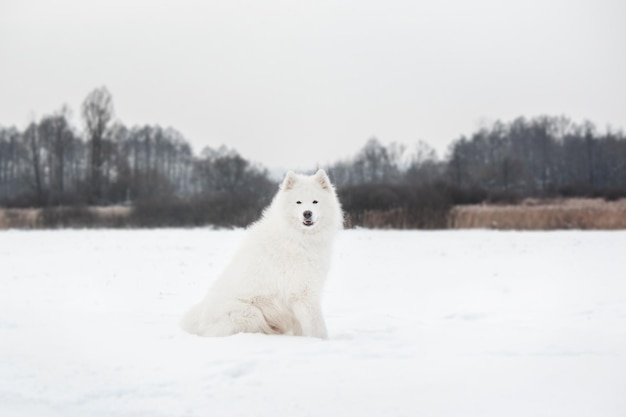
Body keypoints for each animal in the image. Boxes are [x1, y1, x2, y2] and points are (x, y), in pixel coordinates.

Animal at [178, 169, 344, 338]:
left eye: (315, 202)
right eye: (298, 202)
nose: (307, 213)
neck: (298, 238)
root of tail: (200, 321)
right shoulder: (303, 293)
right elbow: (317, 327)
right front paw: (321, 341)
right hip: (250, 315)